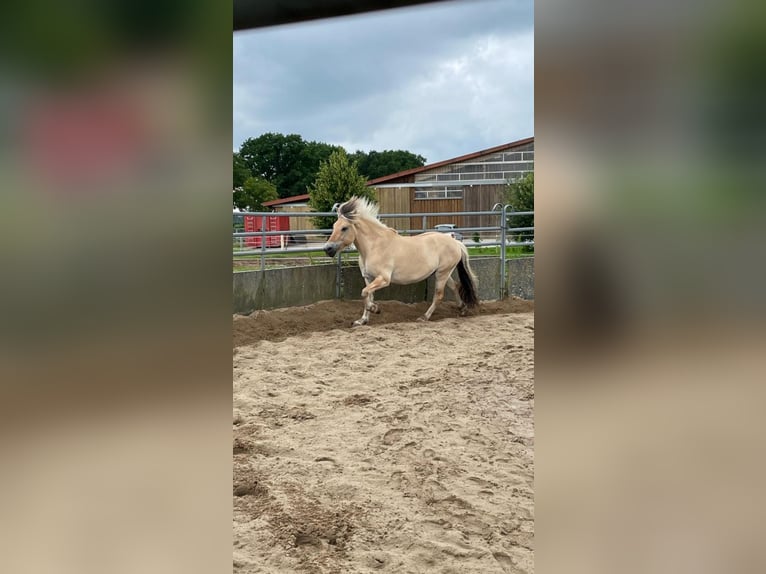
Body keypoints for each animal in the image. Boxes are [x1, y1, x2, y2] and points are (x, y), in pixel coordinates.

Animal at [324, 197, 480, 326]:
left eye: (344, 228)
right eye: (334, 227)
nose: (327, 248)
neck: (374, 246)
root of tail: (455, 242)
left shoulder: (383, 279)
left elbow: (364, 293)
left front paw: (375, 309)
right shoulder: (369, 278)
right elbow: (367, 294)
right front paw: (362, 320)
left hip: (442, 273)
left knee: (439, 295)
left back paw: (424, 317)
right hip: (443, 273)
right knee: (454, 287)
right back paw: (462, 309)